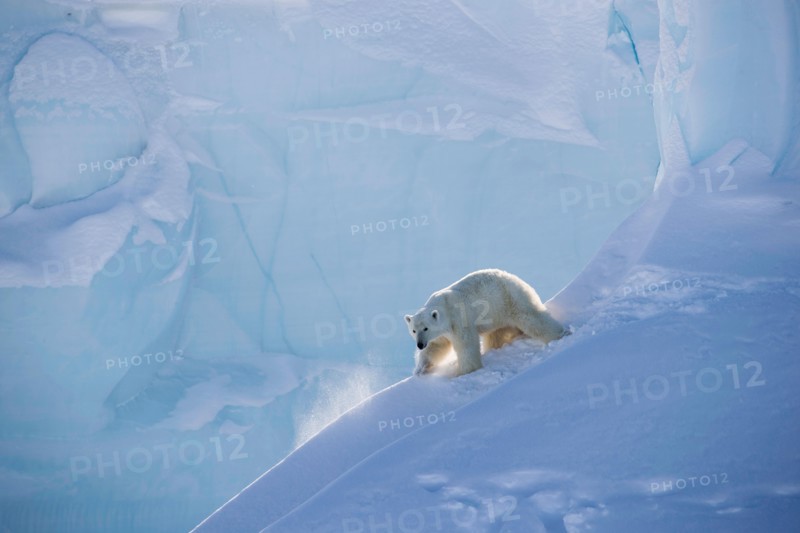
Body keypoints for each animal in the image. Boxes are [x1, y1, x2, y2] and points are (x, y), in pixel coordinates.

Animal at [404, 269, 569, 376]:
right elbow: (436, 346)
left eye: (426, 328)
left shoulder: (459, 319)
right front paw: (420, 369)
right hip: (498, 316)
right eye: (414, 330)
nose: (420, 344)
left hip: (510, 300)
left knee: (532, 319)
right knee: (496, 336)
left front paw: (464, 372)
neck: (443, 305)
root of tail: (520, 281)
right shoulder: (441, 333)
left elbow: (466, 345)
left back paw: (561, 333)